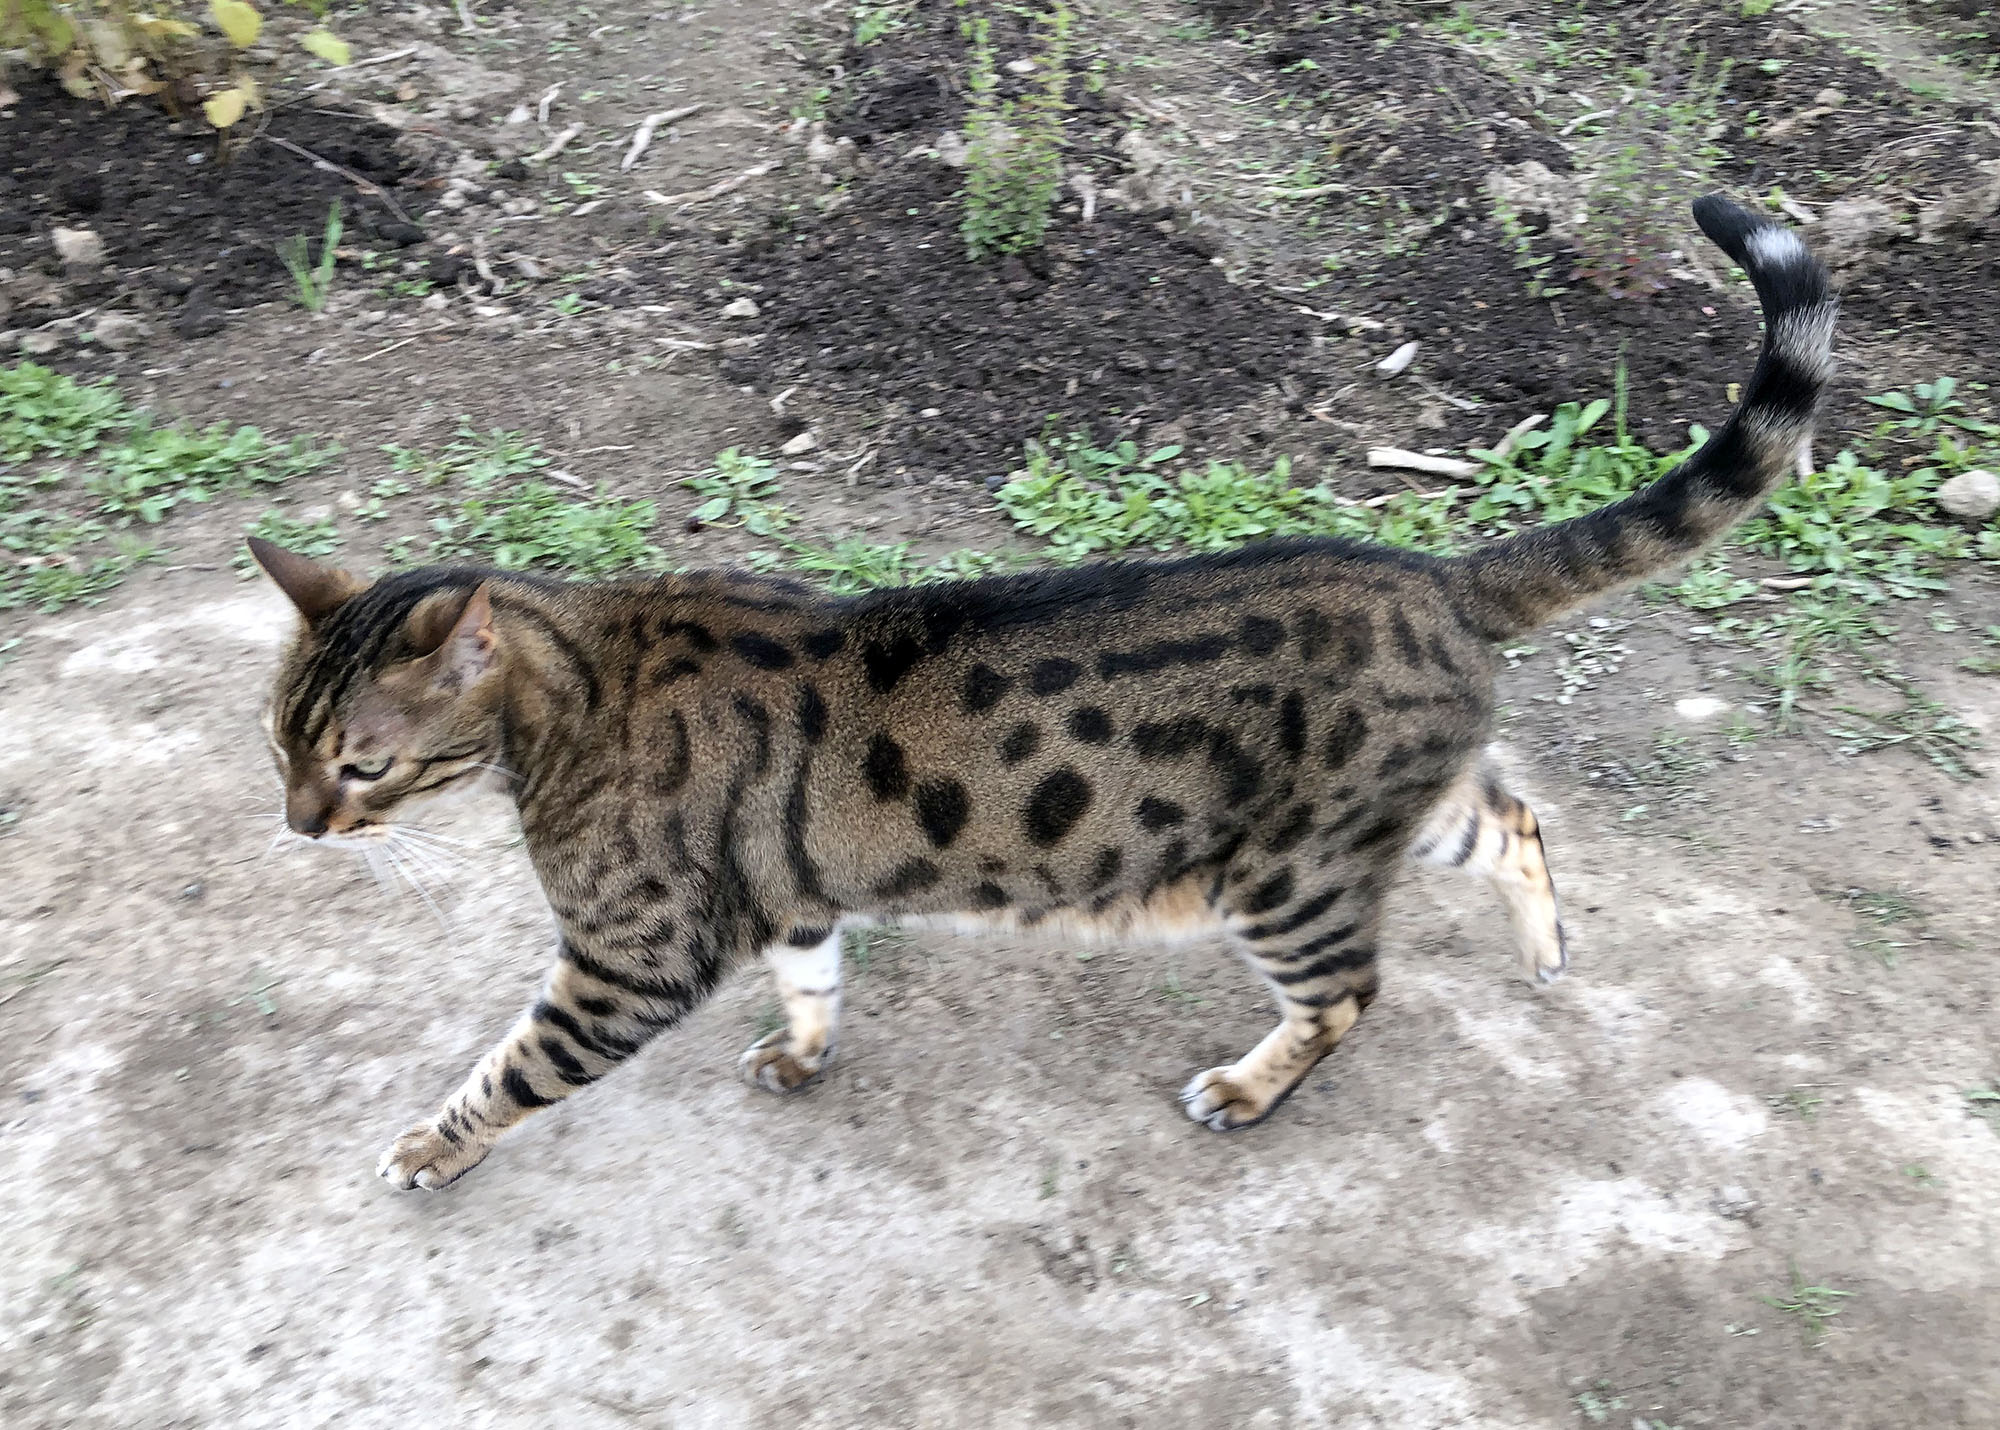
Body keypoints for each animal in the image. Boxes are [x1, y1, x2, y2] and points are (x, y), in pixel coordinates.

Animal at [258, 196, 1832, 1192]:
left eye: (360, 765)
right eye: (280, 744)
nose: (295, 827)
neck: (573, 691)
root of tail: (1436, 576)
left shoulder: (624, 961)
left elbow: (506, 1067)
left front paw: (429, 1145)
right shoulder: (792, 891)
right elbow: (813, 973)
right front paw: (805, 1050)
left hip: (1287, 873)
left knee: (1350, 990)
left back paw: (1249, 1083)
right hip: (1368, 823)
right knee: (1511, 817)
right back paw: (1546, 944)